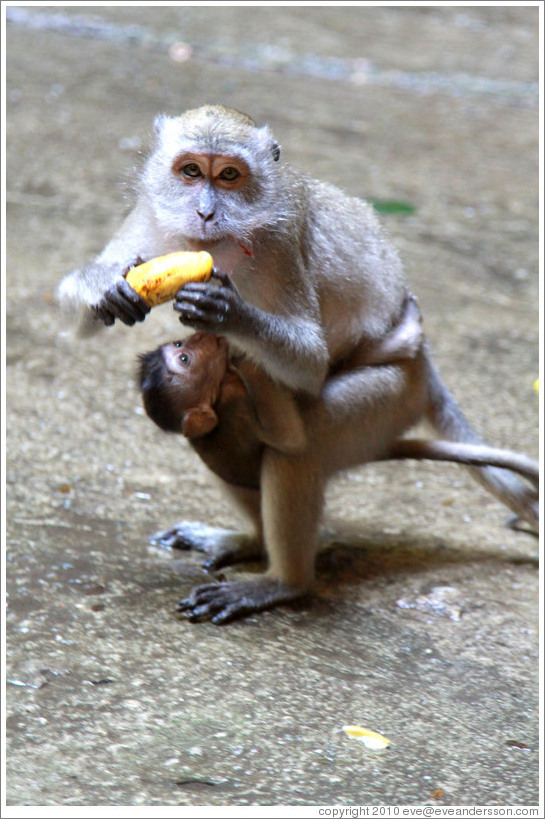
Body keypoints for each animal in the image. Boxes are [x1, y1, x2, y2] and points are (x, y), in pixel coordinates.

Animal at [57, 107, 536, 620]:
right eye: (190, 171)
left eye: (229, 176)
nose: (205, 213)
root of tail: (423, 370)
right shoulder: (150, 215)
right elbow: (78, 310)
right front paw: (106, 288)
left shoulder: (281, 244)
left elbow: (309, 360)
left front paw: (231, 315)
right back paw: (250, 541)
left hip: (389, 400)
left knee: (296, 453)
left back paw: (283, 582)